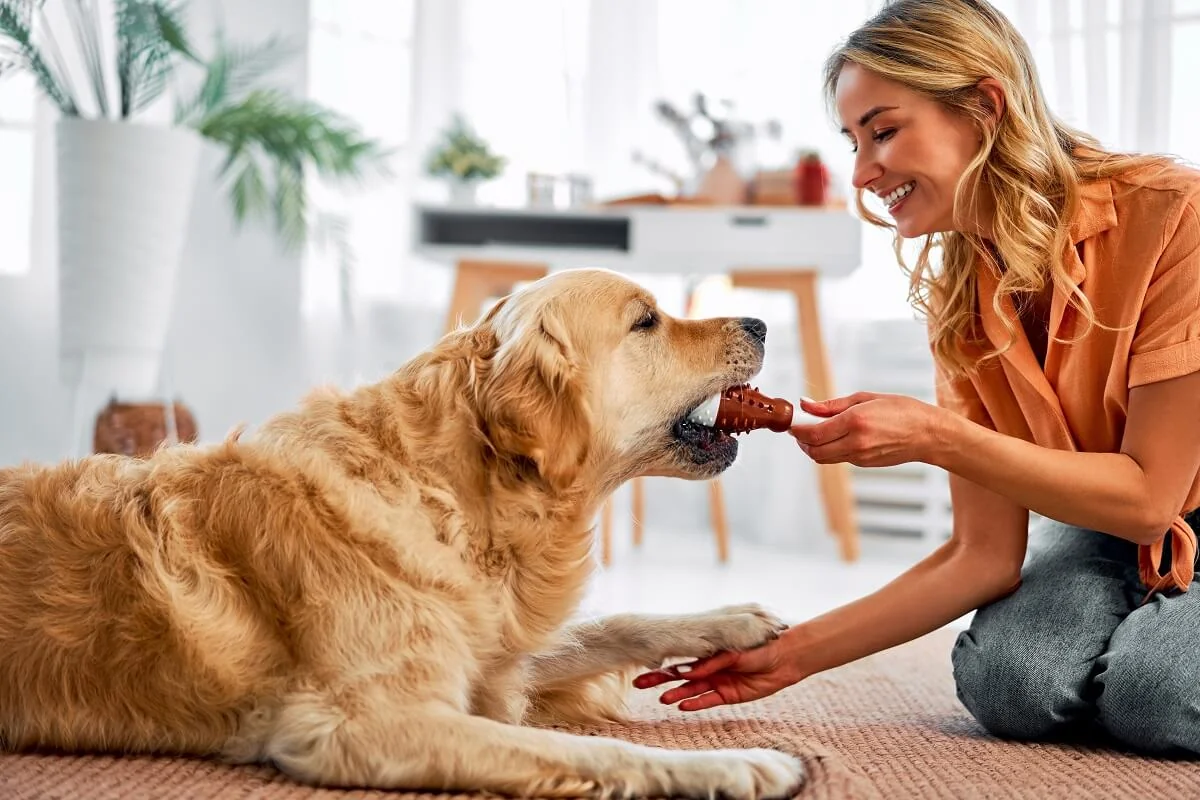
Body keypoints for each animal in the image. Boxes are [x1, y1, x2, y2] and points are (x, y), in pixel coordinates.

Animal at [2, 271, 806, 800]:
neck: (457, 498)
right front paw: (736, 766)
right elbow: (584, 749)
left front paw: (730, 621)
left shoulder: (488, 648)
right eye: (646, 321)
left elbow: (610, 623)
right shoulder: (364, 723)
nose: (763, 324)